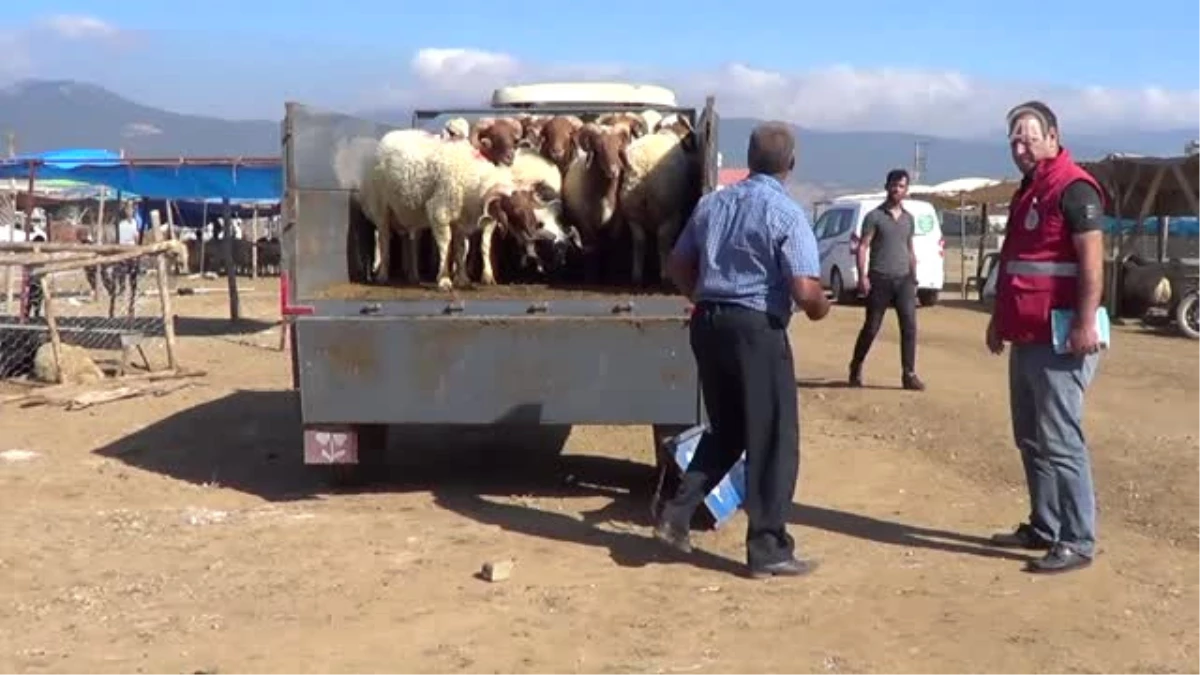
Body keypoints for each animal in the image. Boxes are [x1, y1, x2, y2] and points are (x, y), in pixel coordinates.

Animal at [619, 114, 700, 282]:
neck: (667, 132)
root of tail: (643, 166)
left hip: (632, 208)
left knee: (639, 241)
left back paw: (636, 275)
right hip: (668, 209)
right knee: (662, 240)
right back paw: (665, 273)